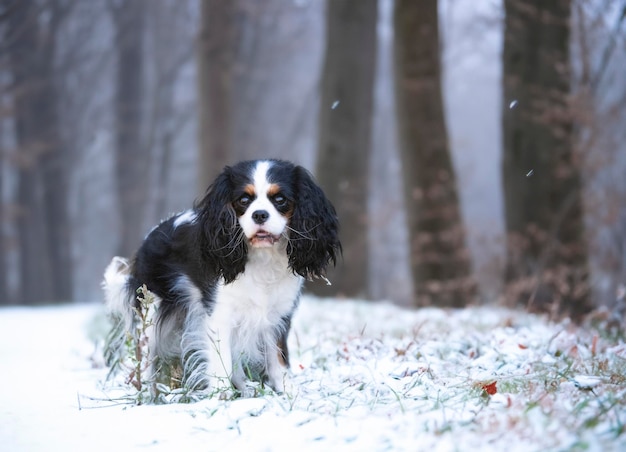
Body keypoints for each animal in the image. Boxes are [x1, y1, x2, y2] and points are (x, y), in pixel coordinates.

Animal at [102, 160, 338, 400]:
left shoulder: (277, 316)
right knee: (146, 357)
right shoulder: (219, 316)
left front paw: (287, 392)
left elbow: (277, 358)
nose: (259, 215)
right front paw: (220, 396)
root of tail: (148, 238)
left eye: (280, 199)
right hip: (150, 313)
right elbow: (222, 360)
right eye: (244, 200)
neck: (263, 258)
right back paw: (148, 396)